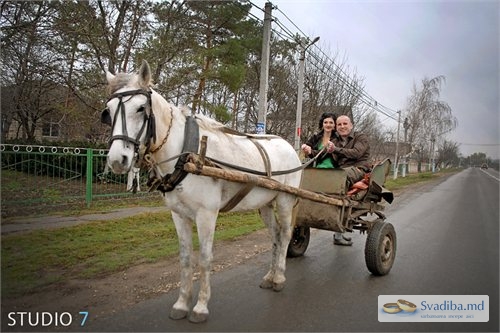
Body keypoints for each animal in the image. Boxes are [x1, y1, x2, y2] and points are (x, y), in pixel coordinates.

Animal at [101, 60, 300, 322]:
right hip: (265, 204)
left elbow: (205, 259)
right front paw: (181, 304)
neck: (186, 154)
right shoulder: (178, 215)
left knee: (285, 235)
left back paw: (279, 277)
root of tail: (289, 145)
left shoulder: (207, 214)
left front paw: (200, 306)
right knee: (275, 236)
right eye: (109, 110)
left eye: (141, 108)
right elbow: (186, 259)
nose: (117, 160)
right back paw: (269, 275)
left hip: (285, 200)